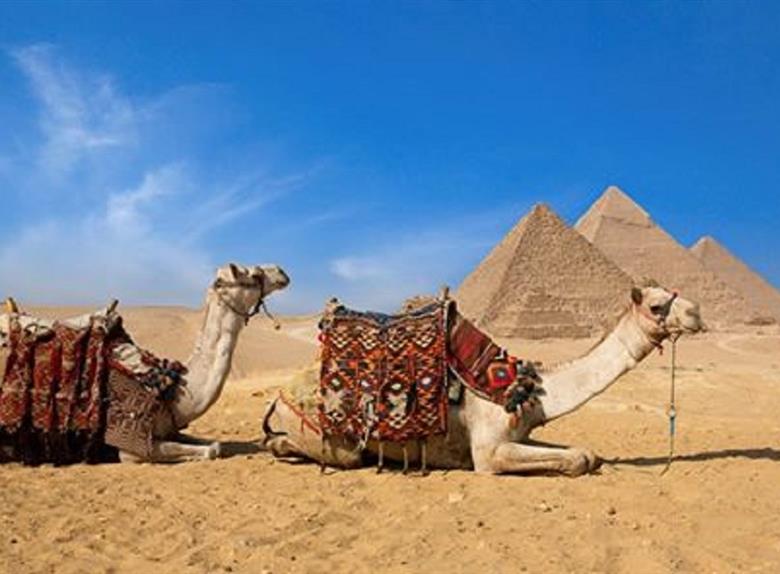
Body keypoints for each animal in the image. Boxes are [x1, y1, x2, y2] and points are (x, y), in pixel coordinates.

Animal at [0, 263, 289, 463]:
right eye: (253, 274)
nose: (281, 272)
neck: (172, 388)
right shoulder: (131, 447)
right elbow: (210, 451)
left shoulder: (170, 428)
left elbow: (213, 444)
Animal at [262, 284, 704, 476]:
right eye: (657, 305)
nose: (696, 313)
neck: (531, 389)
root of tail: (280, 397)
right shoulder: (489, 452)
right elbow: (577, 459)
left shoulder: (519, 433)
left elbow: (585, 451)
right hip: (332, 441)